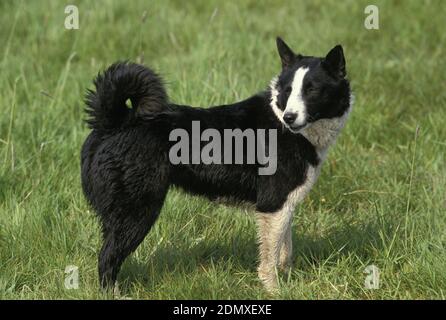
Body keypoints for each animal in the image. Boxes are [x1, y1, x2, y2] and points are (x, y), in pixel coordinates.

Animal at [80, 37, 352, 292]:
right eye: (287, 90)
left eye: (311, 90)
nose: (290, 117)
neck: (282, 121)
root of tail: (115, 121)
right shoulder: (273, 204)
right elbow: (270, 258)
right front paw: (275, 290)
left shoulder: (284, 206)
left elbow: (285, 250)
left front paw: (288, 279)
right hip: (137, 211)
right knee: (107, 258)